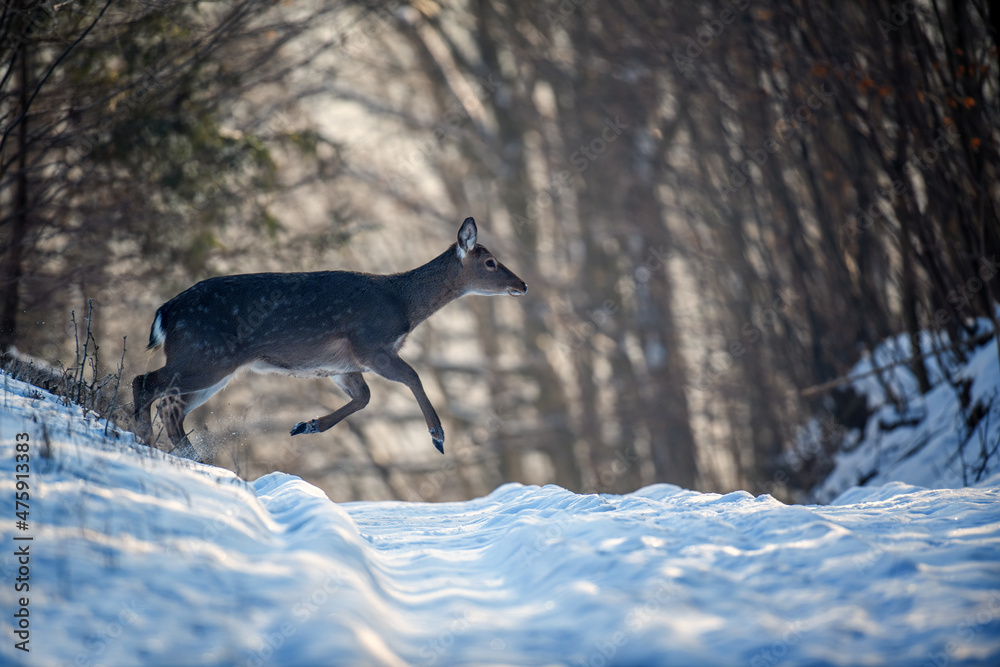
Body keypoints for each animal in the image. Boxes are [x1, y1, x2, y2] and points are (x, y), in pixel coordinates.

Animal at [133, 218, 528, 460]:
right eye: (490, 262)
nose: (522, 284)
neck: (403, 305)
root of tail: (164, 312)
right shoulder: (371, 345)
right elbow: (413, 376)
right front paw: (438, 436)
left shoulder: (341, 365)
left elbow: (364, 398)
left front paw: (306, 425)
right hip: (205, 356)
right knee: (146, 383)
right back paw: (142, 441)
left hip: (210, 368)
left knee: (171, 405)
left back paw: (189, 456)